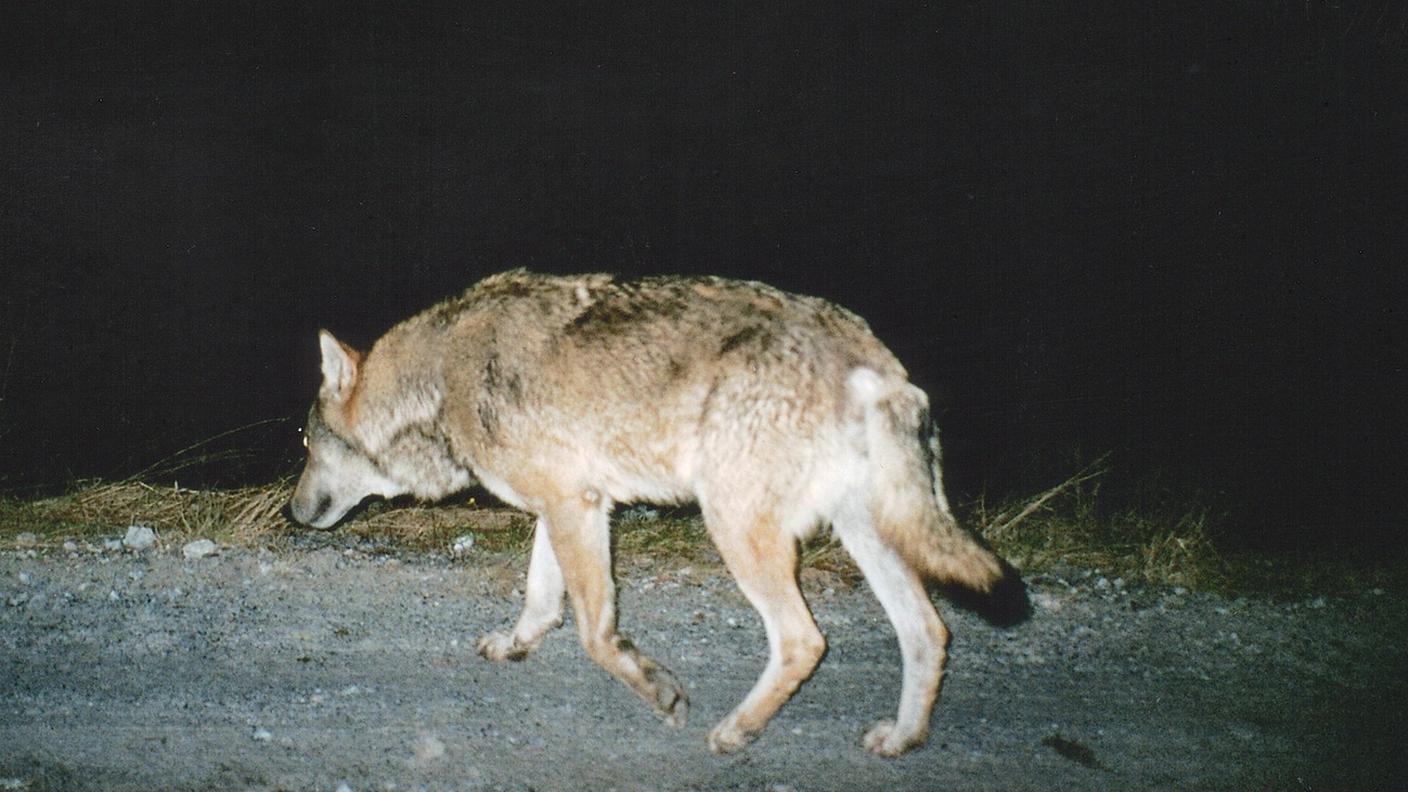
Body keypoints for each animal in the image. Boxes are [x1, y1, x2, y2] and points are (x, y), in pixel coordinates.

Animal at [289, 269, 1024, 756]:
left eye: (304, 445)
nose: (293, 513)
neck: (442, 378)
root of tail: (867, 356)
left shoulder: (574, 507)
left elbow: (595, 635)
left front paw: (659, 690)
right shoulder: (571, 502)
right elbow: (541, 602)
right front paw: (515, 644)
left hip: (737, 529)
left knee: (804, 641)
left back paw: (736, 730)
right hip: (864, 534)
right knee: (928, 632)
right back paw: (902, 738)